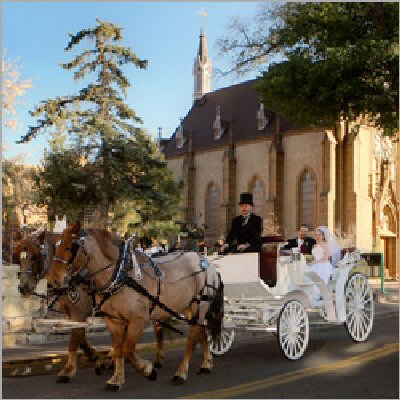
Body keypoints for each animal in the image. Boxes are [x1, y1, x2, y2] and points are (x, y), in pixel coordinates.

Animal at [15, 223, 108, 382]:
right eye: (19, 258)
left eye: (35, 257)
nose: (23, 288)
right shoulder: (72, 316)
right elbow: (81, 339)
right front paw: (97, 360)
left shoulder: (79, 313)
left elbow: (74, 341)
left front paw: (68, 370)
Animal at [48, 228, 223, 390]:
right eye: (55, 247)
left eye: (69, 247)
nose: (53, 282)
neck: (120, 276)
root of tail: (206, 261)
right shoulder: (113, 320)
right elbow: (117, 349)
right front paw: (116, 379)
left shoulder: (137, 320)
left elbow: (127, 349)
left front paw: (147, 370)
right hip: (190, 308)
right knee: (201, 332)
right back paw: (206, 364)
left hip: (199, 306)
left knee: (191, 340)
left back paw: (181, 373)